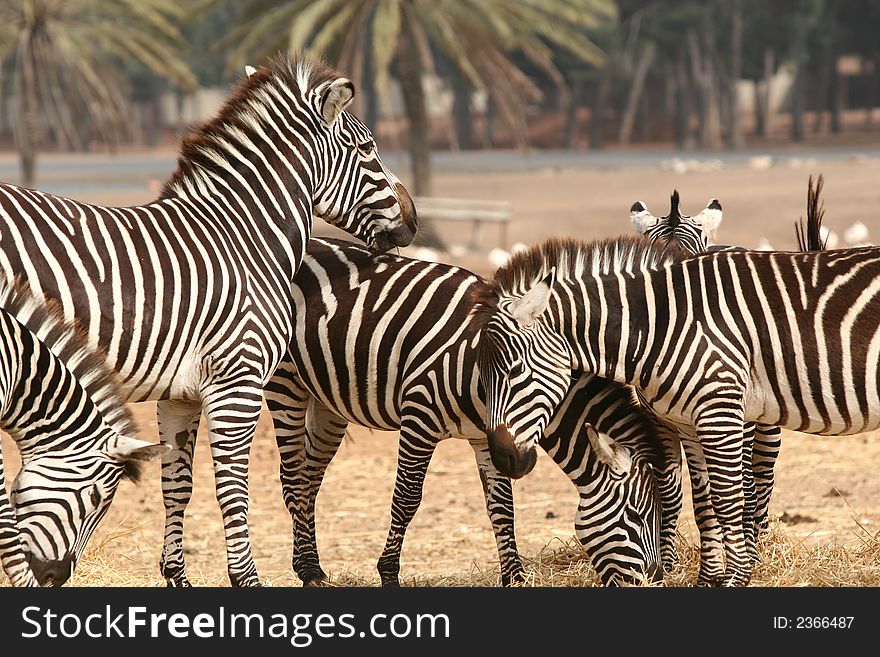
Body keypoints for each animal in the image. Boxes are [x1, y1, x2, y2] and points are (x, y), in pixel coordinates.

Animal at [264, 238, 664, 588]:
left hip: (326, 399)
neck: (479, 376)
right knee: (293, 478)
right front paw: (389, 574)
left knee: (310, 478)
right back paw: (308, 570)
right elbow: (406, 498)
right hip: (286, 383)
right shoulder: (420, 418)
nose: (656, 579)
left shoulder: (488, 438)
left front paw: (514, 578)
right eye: (636, 517)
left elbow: (502, 507)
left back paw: (313, 567)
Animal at [478, 234, 880, 584]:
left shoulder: (720, 409)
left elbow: (728, 501)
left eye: (514, 371)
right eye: (480, 379)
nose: (502, 458)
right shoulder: (688, 422)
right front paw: (709, 580)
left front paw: (736, 580)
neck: (658, 326)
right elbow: (704, 504)